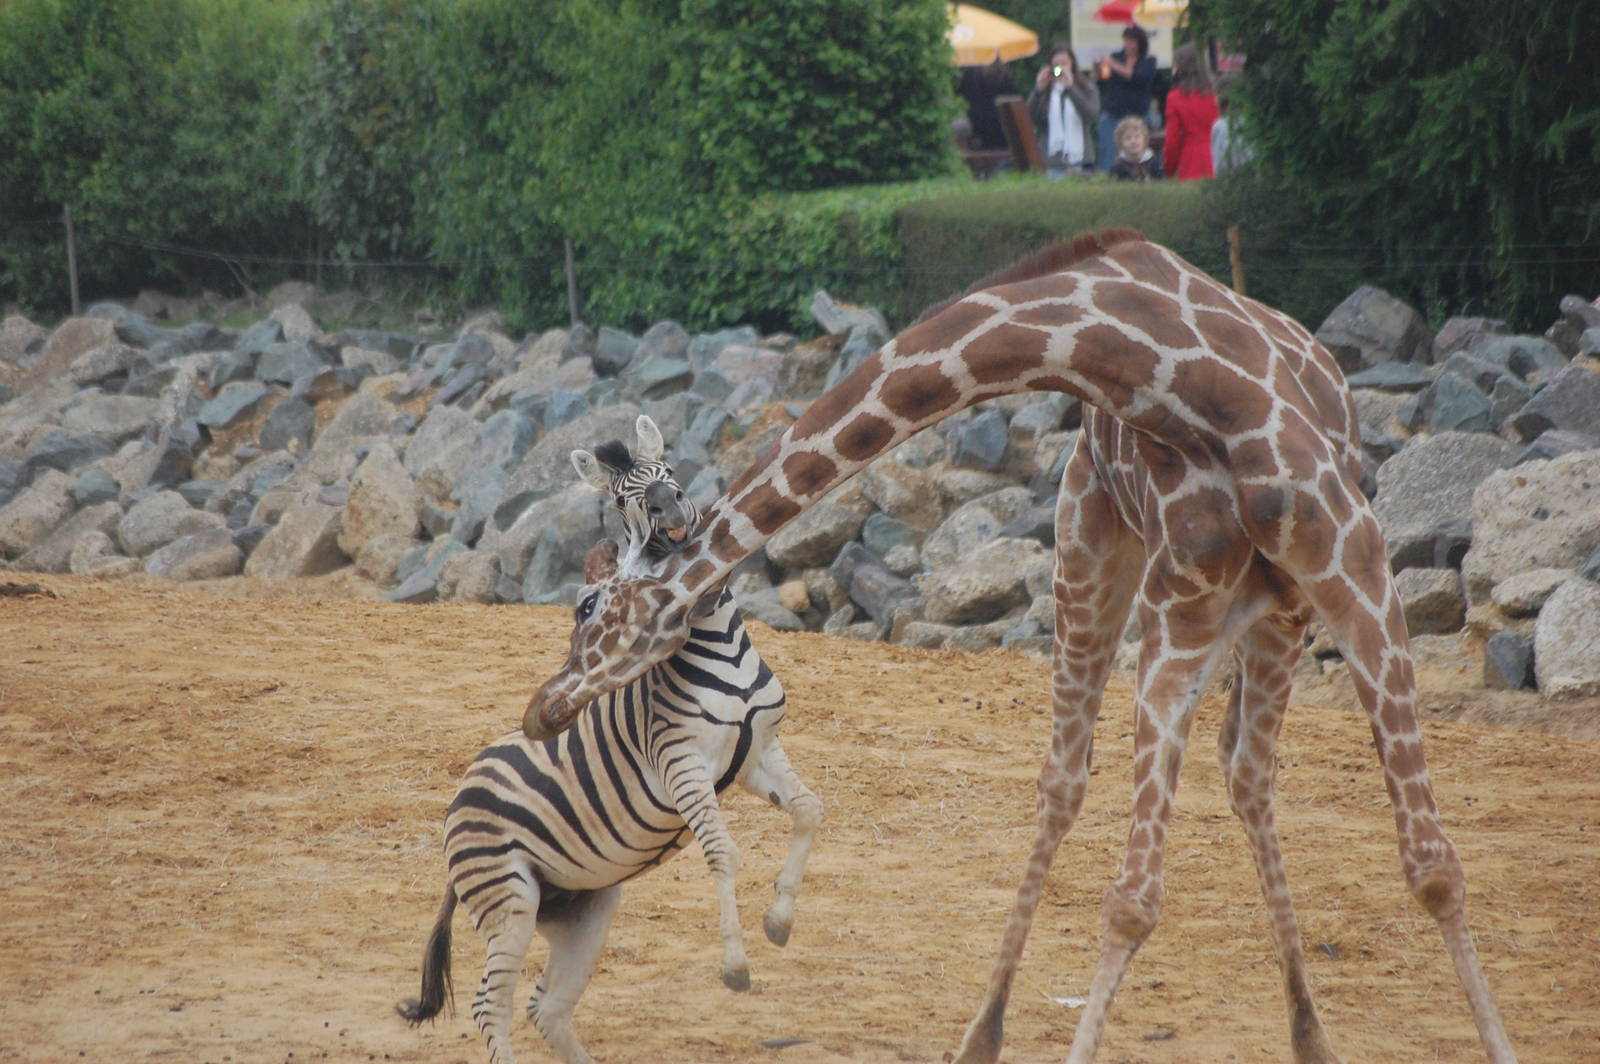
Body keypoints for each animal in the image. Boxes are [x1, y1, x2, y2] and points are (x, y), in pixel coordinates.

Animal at [399, 416, 822, 1064]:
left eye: (670, 472)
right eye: (624, 502)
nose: (669, 506)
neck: (719, 642)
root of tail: (455, 805)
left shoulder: (757, 754)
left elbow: (807, 810)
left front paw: (779, 921)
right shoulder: (681, 763)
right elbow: (723, 853)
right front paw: (736, 965)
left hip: (582, 908)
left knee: (545, 1007)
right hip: (509, 900)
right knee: (490, 1005)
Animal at [520, 230, 1516, 1063]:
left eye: (587, 605)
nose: (541, 708)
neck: (1165, 370)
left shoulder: (1363, 585)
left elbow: (1436, 870)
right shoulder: (1183, 617)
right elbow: (1131, 899)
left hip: (1276, 615)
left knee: (1245, 773)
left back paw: (1310, 1034)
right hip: (1101, 565)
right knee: (1078, 783)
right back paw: (988, 1033)